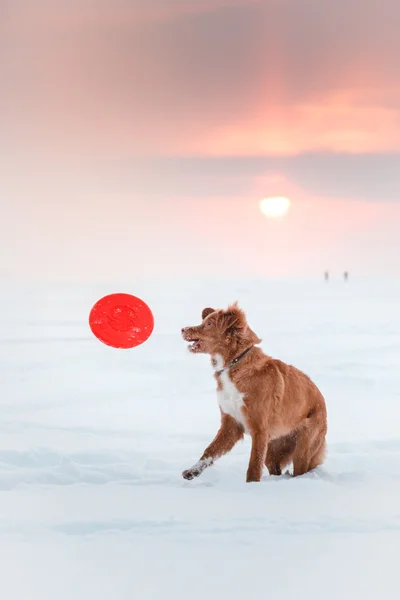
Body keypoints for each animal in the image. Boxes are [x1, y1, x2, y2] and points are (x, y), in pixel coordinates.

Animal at [181, 304, 328, 482]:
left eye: (209, 324)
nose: (183, 329)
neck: (235, 364)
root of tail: (322, 398)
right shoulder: (231, 425)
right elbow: (210, 451)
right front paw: (193, 471)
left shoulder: (259, 429)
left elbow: (254, 465)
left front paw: (251, 485)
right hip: (274, 449)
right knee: (275, 469)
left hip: (303, 445)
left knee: (300, 468)